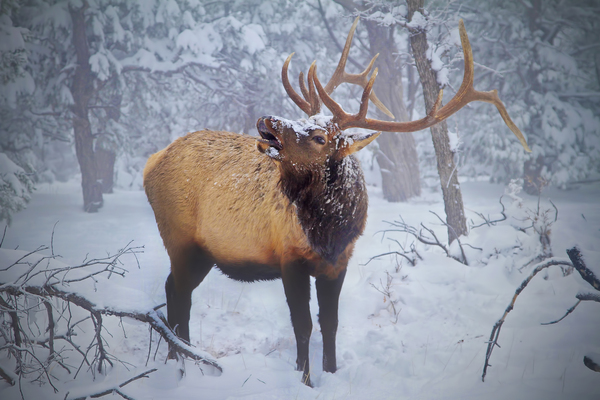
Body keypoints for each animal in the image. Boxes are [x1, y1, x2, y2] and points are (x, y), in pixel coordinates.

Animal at [143, 18, 528, 384]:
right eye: (304, 119)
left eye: (318, 135)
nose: (267, 119)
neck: (329, 231)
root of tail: (151, 162)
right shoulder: (289, 258)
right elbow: (303, 326)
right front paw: (305, 379)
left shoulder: (338, 262)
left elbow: (330, 323)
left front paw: (330, 372)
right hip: (179, 238)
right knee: (178, 294)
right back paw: (180, 362)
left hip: (200, 251)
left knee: (174, 291)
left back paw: (186, 359)